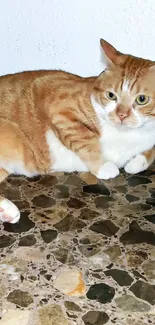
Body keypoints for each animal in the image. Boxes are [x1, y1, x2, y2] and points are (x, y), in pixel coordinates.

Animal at [0, 39, 155, 223]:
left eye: (142, 99)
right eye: (111, 95)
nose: (121, 115)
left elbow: (149, 154)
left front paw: (136, 162)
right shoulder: (60, 110)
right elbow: (87, 140)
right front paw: (103, 166)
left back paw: (5, 211)